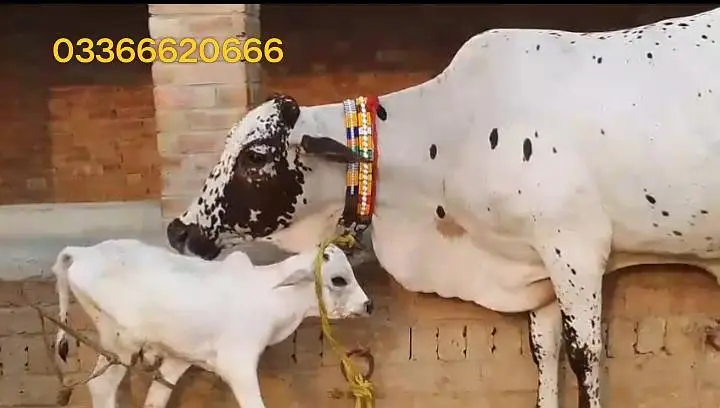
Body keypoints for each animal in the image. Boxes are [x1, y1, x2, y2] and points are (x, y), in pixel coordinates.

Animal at [51, 239, 372, 408]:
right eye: (338, 279)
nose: (368, 304)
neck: (270, 296)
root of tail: (82, 251)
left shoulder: (179, 358)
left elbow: (156, 398)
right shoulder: (238, 364)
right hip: (119, 345)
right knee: (101, 387)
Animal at [165, 8, 720, 408]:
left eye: (256, 155)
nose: (178, 230)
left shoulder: (576, 251)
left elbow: (585, 360)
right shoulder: (536, 266)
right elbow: (545, 356)